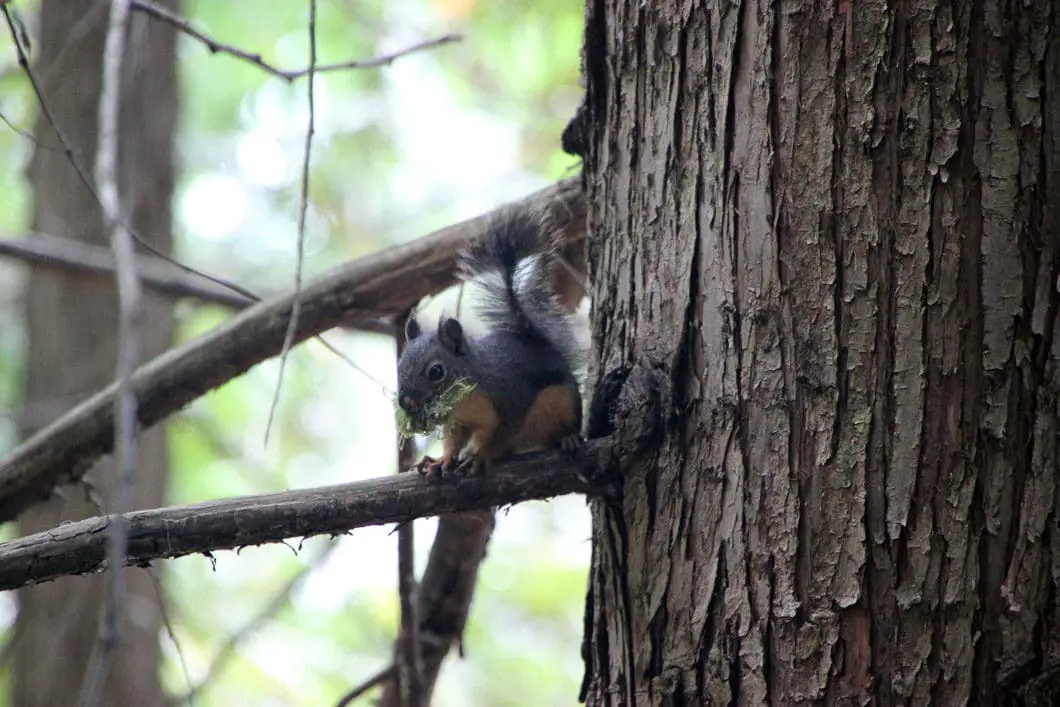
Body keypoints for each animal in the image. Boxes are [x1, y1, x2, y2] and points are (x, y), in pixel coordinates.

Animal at [396, 207, 585, 479]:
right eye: (399, 366)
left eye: (436, 371)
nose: (406, 403)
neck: (466, 400)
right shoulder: (459, 422)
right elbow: (453, 441)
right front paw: (442, 459)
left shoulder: (513, 397)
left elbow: (501, 435)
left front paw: (479, 457)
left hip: (566, 402)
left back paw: (568, 438)